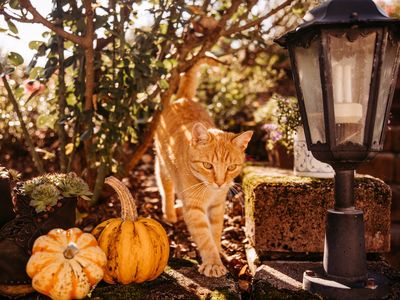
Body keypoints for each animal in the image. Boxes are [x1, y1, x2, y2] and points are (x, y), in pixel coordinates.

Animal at [154, 58, 253, 276]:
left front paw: (218, 252)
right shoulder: (195, 210)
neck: (209, 190)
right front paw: (213, 263)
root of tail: (183, 98)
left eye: (231, 167)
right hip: (163, 164)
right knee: (165, 186)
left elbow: (214, 232)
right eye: (208, 165)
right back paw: (170, 213)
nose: (220, 182)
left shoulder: (217, 206)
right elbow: (204, 237)